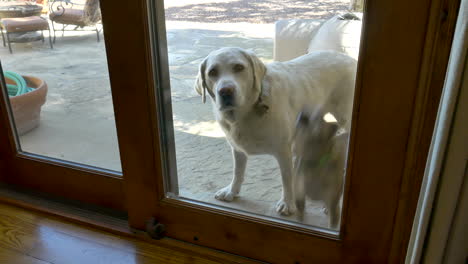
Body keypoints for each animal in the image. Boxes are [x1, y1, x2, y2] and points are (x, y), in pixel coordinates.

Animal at [194, 47, 354, 216]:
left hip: (346, 118)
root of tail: (349, 58)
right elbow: (237, 172)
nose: (226, 91)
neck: (246, 112)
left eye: (239, 67)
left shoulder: (283, 151)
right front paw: (232, 191)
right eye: (212, 72)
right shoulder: (237, 148)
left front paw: (287, 203)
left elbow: (286, 178)